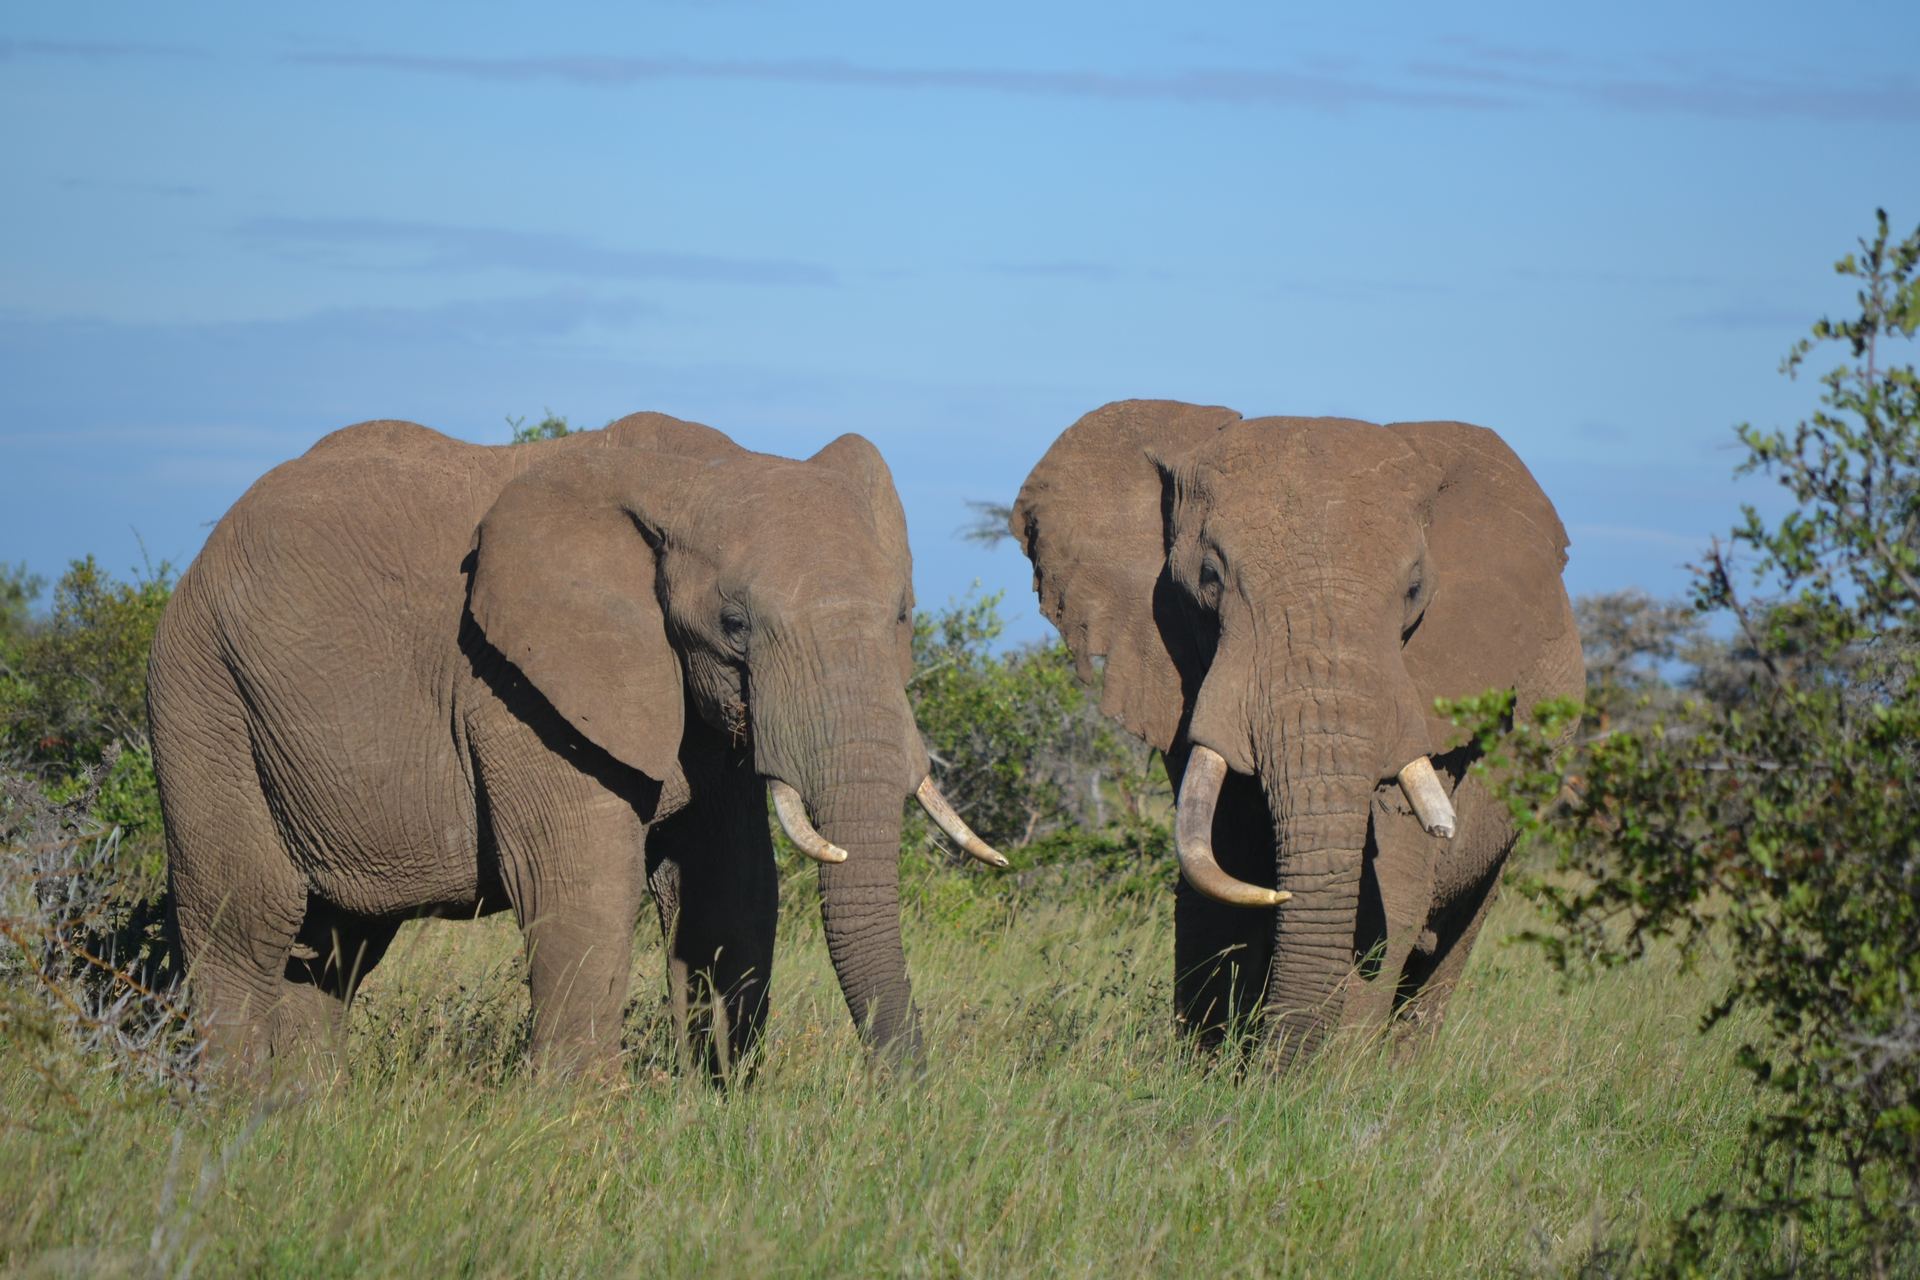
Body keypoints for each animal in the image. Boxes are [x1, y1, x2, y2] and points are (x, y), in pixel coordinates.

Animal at [147, 411, 1005, 1080]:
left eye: (902, 614)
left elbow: (730, 892)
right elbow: (582, 884)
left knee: (333, 946)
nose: (908, 1094)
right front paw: (578, 1124)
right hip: (202, 694)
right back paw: (237, 1123)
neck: (696, 472)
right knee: (243, 921)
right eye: (734, 626)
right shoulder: (515, 686)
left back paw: (309, 1117)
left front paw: (720, 1105)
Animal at [1011, 400, 1583, 1064]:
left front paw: (1327, 1081)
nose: (1268, 1064)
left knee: (1455, 939)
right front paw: (1209, 1070)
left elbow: (1386, 895)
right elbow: (1220, 867)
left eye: (1415, 590)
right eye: (1210, 576)